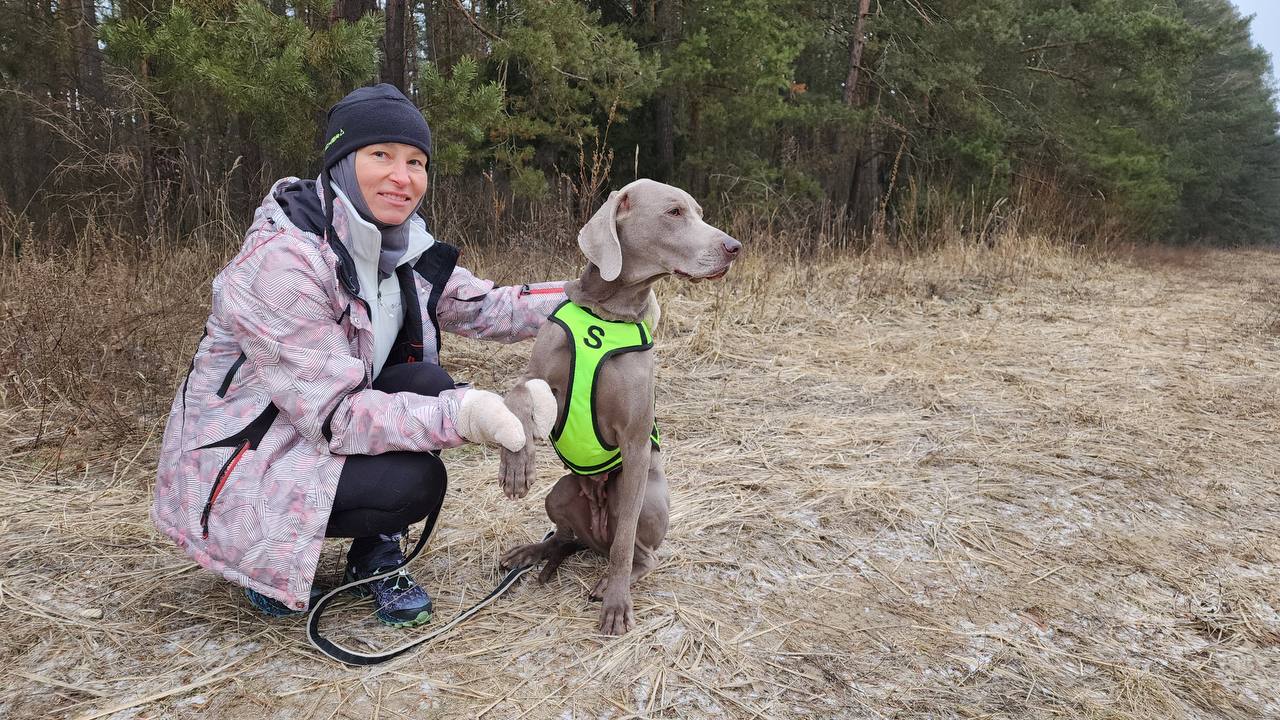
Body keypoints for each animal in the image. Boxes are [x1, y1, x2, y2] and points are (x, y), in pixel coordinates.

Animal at [496, 179, 742, 632]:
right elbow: (517, 395)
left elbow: (625, 541)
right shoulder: (537, 378)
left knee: (637, 552)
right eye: (675, 212)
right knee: (562, 536)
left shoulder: (634, 441)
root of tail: (594, 537)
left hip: (646, 497)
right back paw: (532, 552)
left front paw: (616, 604)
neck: (608, 312)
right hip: (560, 493)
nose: (735, 247)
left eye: (700, 212)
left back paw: (609, 580)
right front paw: (516, 468)